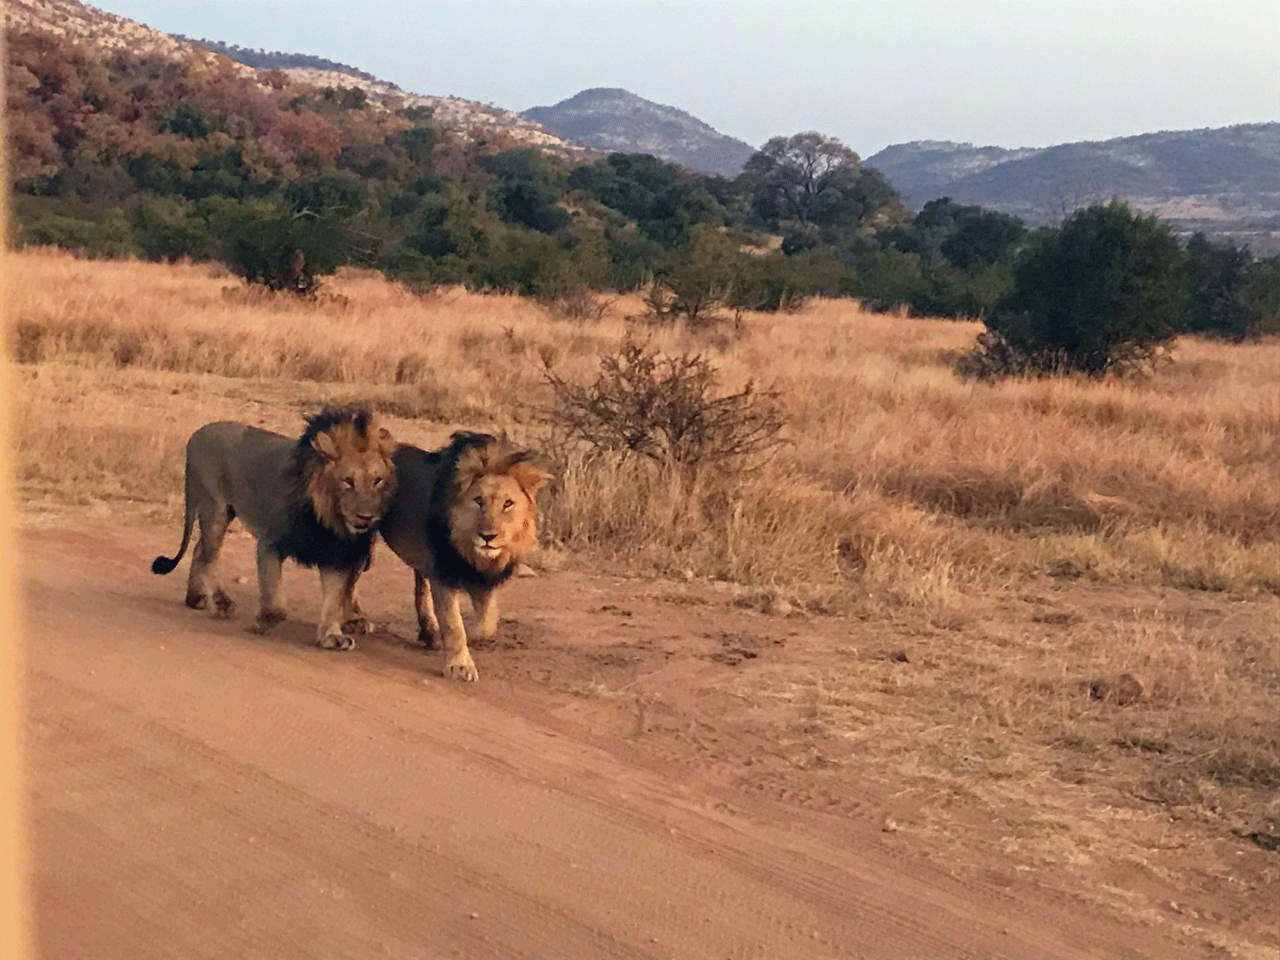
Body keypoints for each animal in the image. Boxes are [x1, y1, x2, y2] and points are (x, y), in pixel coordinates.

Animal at [152, 407, 396, 655]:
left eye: (377, 480)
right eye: (348, 481)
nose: (366, 517)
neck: (327, 519)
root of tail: (198, 433)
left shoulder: (336, 555)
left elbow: (334, 598)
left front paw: (331, 636)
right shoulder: (270, 543)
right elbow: (276, 598)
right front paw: (263, 621)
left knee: (198, 548)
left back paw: (195, 598)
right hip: (214, 507)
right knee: (206, 555)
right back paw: (221, 603)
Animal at [373, 432, 547, 680]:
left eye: (508, 504)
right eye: (478, 501)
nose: (488, 536)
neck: (472, 552)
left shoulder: (483, 579)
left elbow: (488, 623)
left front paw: (473, 635)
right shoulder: (444, 573)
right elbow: (454, 624)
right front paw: (460, 665)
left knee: (420, 585)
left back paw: (429, 632)